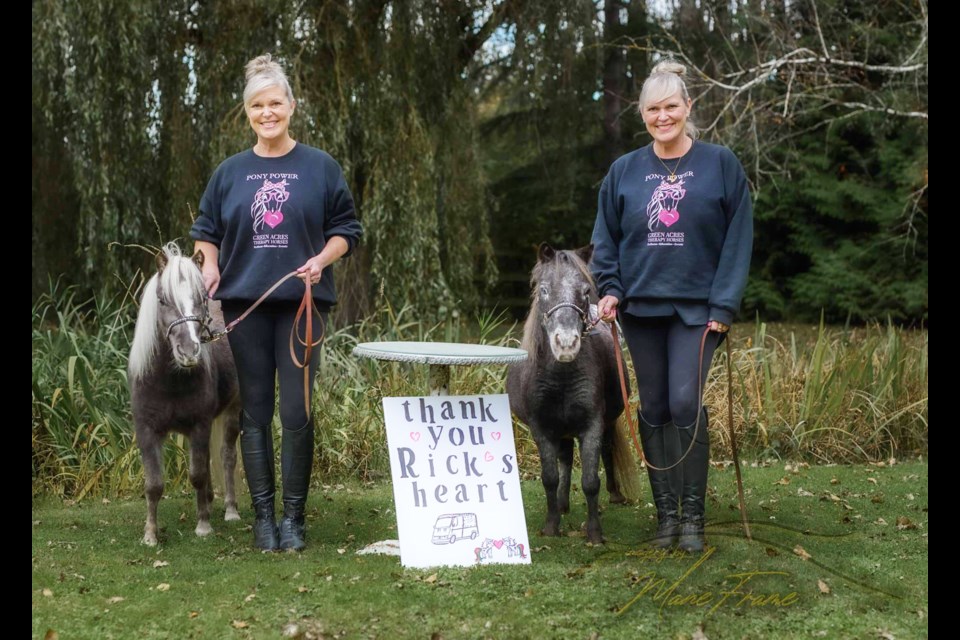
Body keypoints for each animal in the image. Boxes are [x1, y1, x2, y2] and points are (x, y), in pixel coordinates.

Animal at [127, 244, 242, 544]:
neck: (168, 381)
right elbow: (154, 484)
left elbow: (197, 474)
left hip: (234, 410)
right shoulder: (147, 430)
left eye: (201, 298)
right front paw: (150, 535)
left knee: (226, 456)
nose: (189, 352)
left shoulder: (199, 425)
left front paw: (203, 526)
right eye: (163, 300)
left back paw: (230, 510)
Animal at [506, 242, 640, 544]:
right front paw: (551, 525)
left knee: (606, 451)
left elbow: (591, 481)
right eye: (544, 290)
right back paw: (563, 504)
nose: (566, 344)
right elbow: (550, 477)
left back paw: (614, 495)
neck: (561, 376)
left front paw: (594, 533)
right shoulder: (542, 429)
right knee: (565, 460)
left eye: (585, 290)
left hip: (604, 424)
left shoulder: (592, 425)